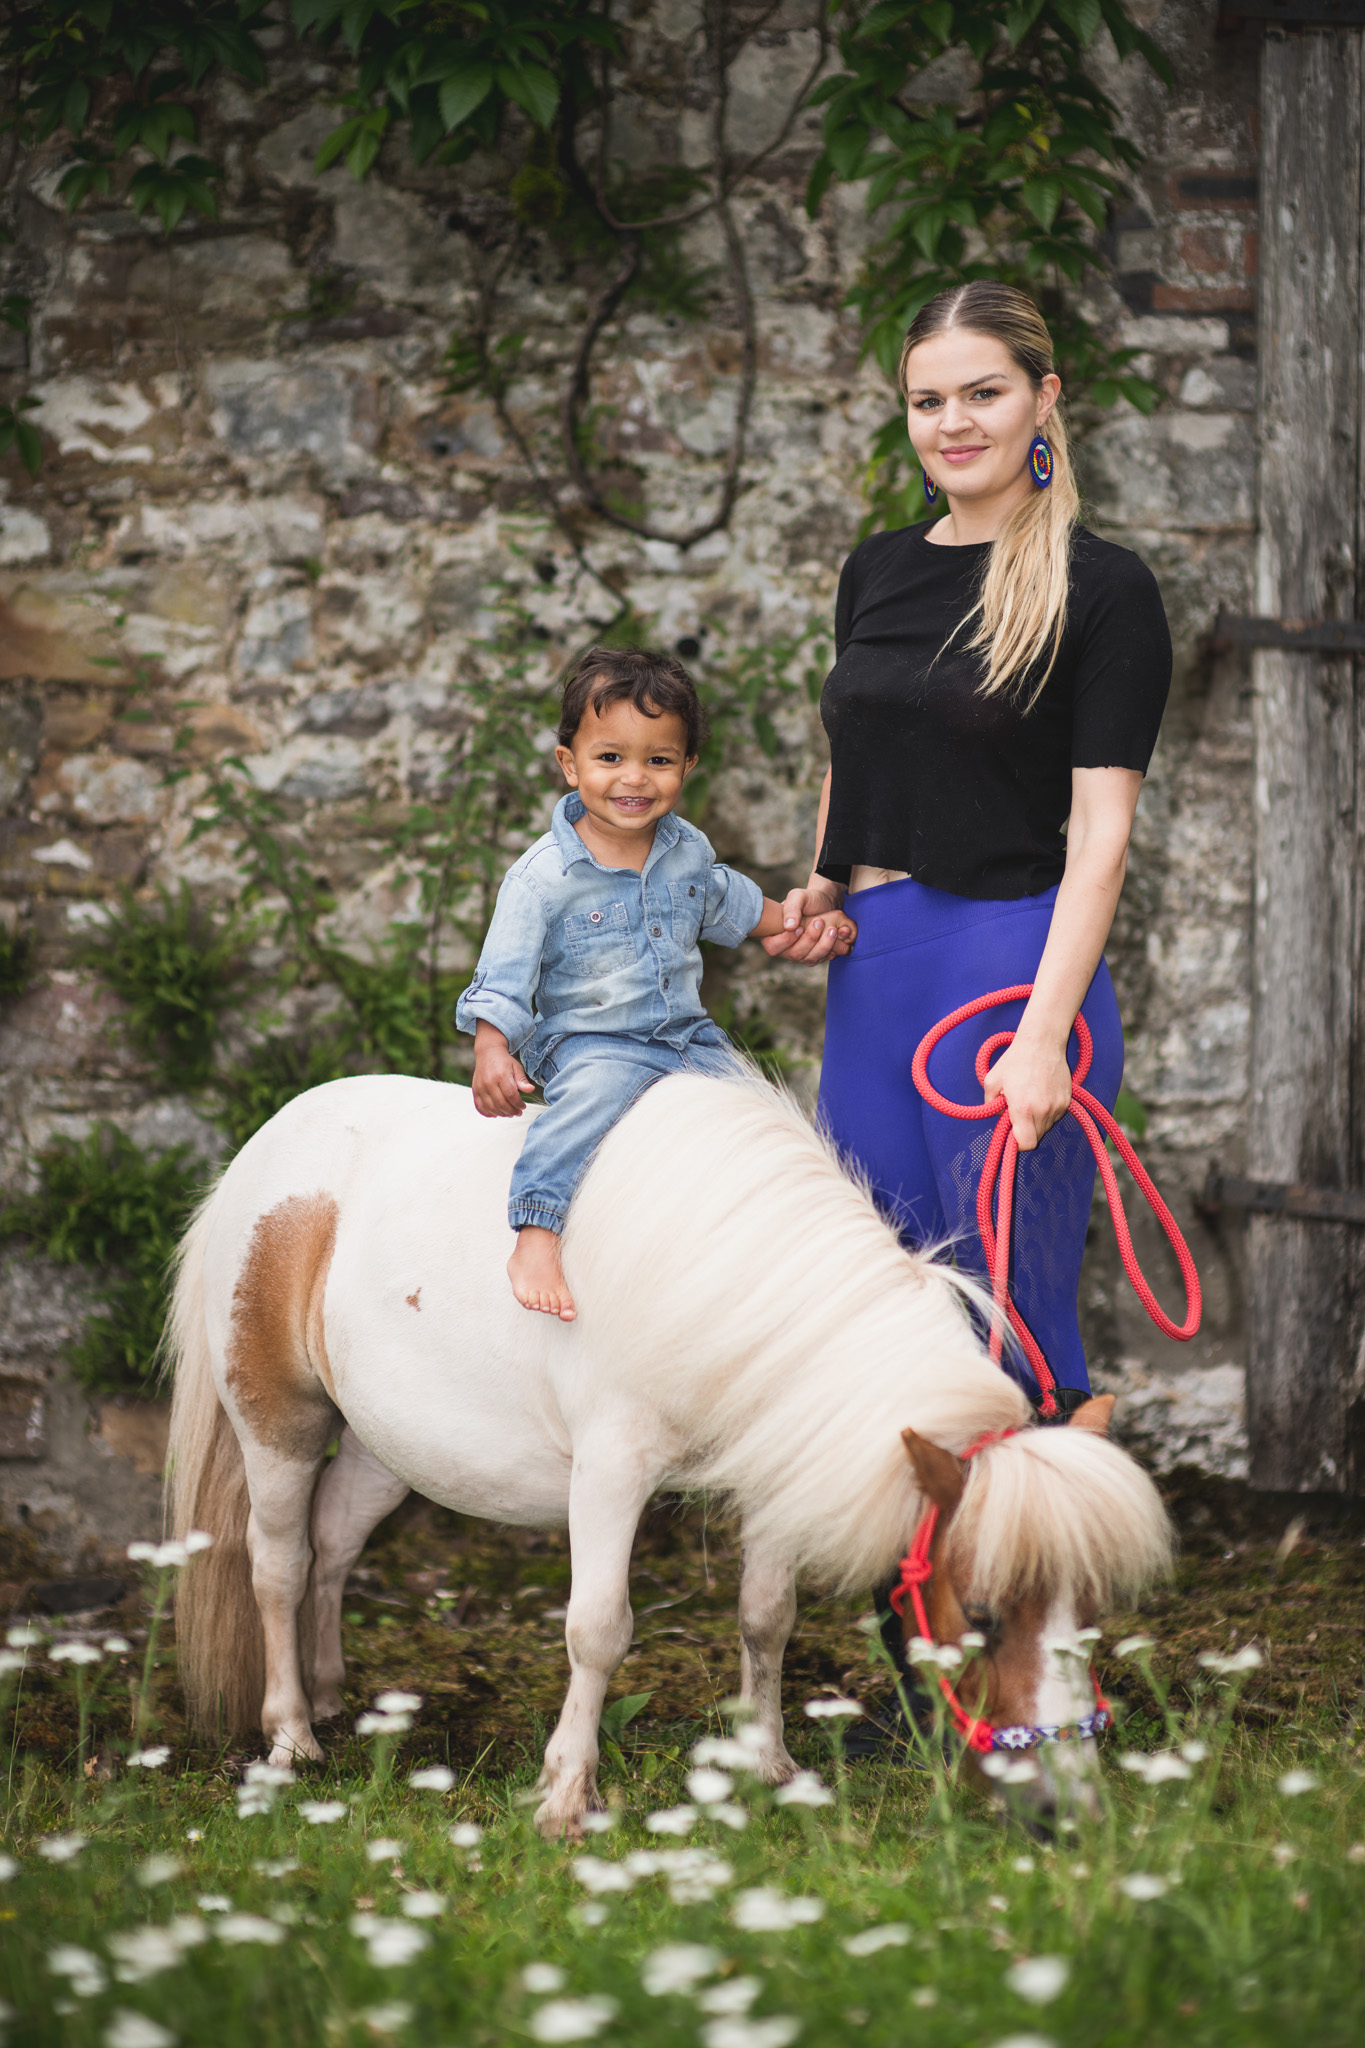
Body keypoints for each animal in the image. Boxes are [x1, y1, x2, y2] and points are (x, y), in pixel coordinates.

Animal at [165, 1073, 1178, 1843]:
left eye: (1091, 1613)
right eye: (980, 1614)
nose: (1066, 1813)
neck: (733, 1285)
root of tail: (266, 1147)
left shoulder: (775, 1465)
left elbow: (766, 1617)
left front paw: (769, 1763)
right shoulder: (611, 1470)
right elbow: (598, 1629)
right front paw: (566, 1796)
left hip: (392, 1446)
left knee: (335, 1545)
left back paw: (334, 1697)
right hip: (279, 1426)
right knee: (279, 1564)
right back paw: (292, 1737)